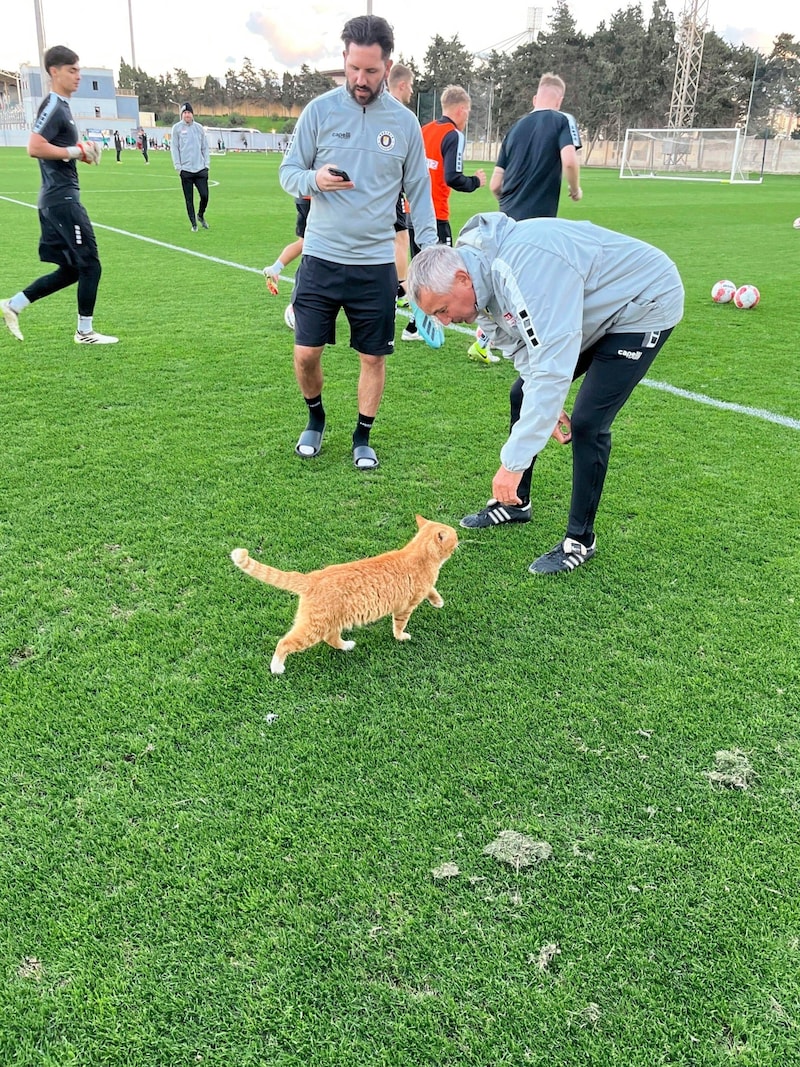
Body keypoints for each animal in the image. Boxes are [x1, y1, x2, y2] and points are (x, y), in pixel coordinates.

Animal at [230, 512, 456, 670]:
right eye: (455, 535)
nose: (460, 537)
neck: (418, 554)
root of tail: (312, 576)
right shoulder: (405, 607)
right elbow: (399, 625)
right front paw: (401, 637)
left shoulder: (423, 588)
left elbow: (432, 590)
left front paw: (438, 601)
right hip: (314, 627)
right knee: (285, 642)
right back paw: (277, 667)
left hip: (332, 622)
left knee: (331, 639)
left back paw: (347, 646)